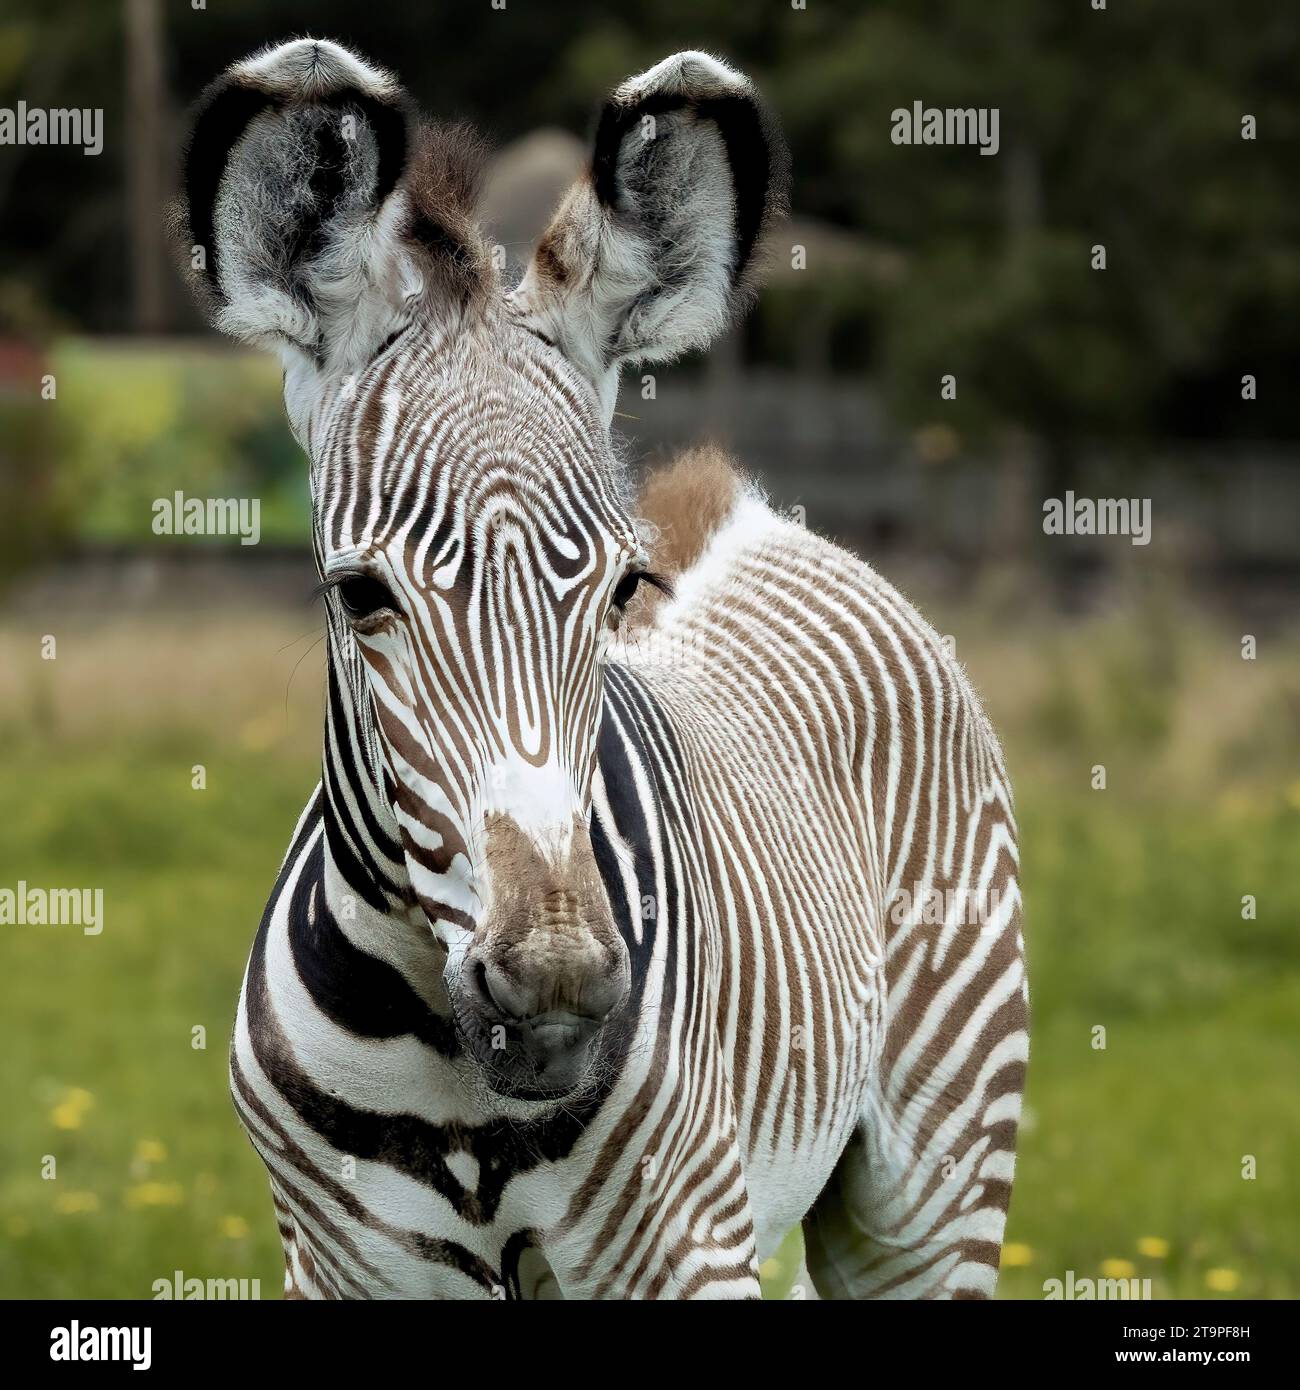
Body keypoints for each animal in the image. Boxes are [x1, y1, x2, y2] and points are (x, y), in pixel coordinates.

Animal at [176, 36, 1028, 1300]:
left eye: (622, 591)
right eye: (359, 594)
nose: (556, 998)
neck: (452, 1079)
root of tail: (754, 518)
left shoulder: (688, 1243)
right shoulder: (342, 1265)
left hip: (930, 1182)